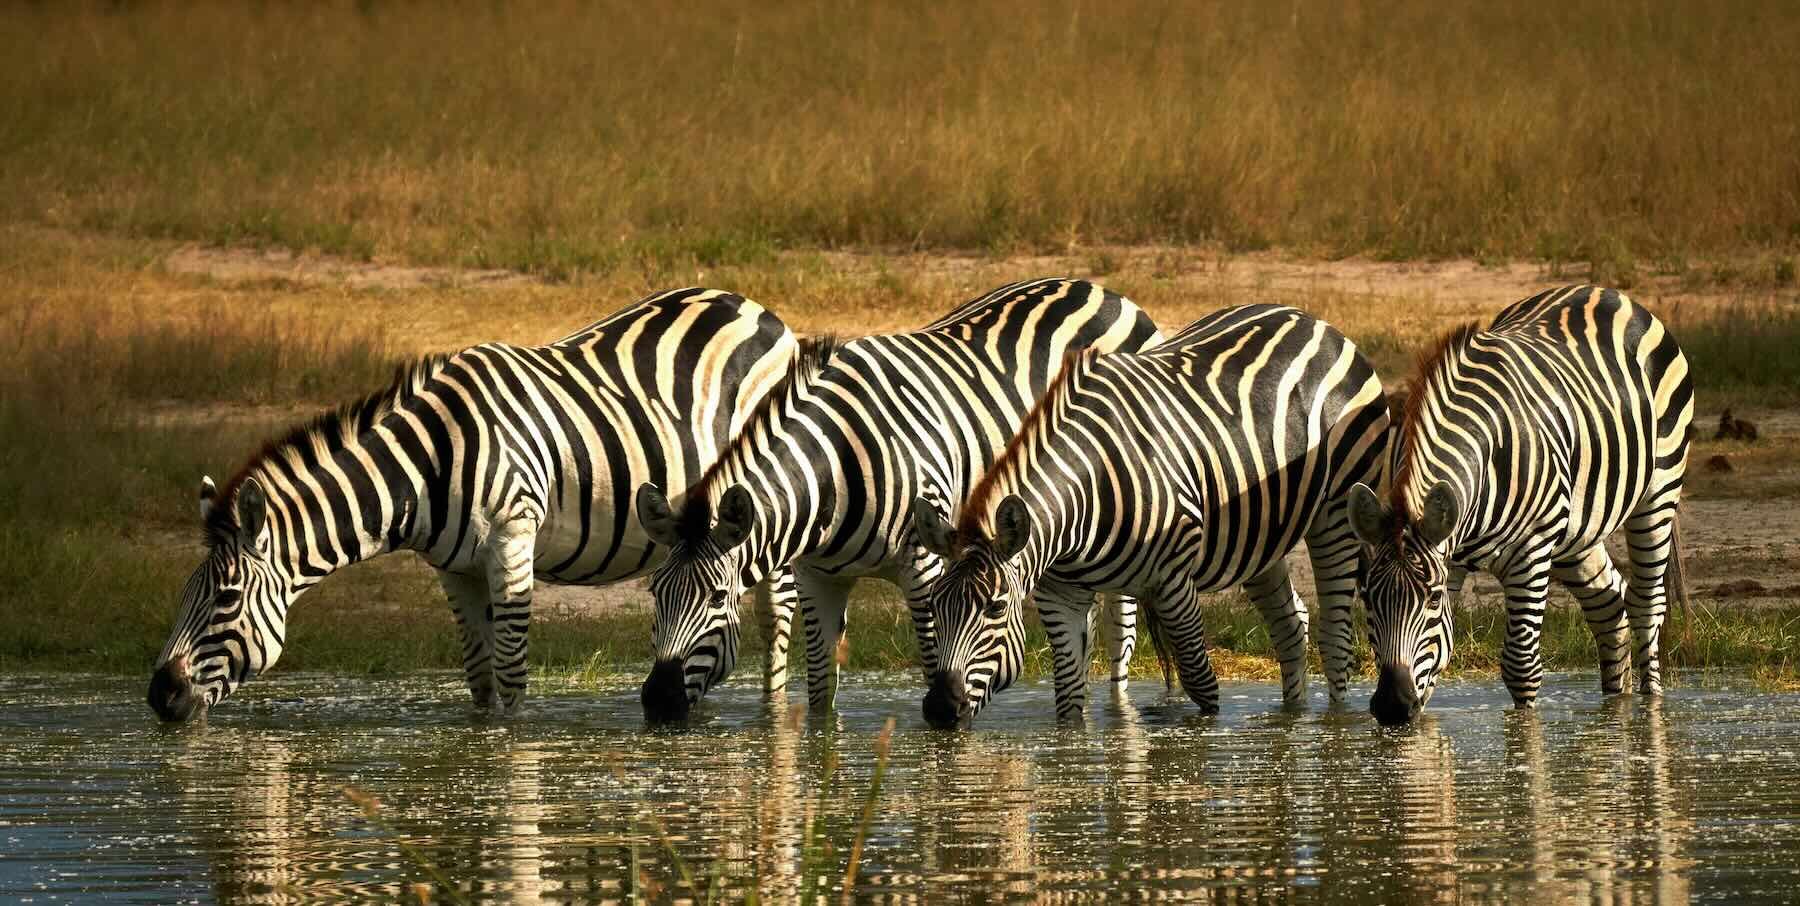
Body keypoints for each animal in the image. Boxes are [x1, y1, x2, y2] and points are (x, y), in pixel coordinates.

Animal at [147, 288, 797, 722]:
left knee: (776, 620)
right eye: (184, 592)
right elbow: (480, 678)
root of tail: (758, 308)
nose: (158, 696)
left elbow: (509, 673)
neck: (424, 468)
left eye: (226, 599)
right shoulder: (454, 568)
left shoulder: (513, 538)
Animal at [634, 278, 1163, 722]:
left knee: (1121, 633)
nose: (658, 701)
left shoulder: (925, 566)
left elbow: (934, 663)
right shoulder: (816, 576)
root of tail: (1105, 291)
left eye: (717, 597)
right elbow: (821, 690)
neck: (834, 470)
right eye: (655, 593)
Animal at [912, 303, 1390, 727]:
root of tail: (1316, 321)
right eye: (935, 605)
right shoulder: (1060, 595)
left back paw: (1334, 725)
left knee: (1335, 640)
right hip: (1262, 534)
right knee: (1291, 628)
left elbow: (1201, 685)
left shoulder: (1173, 581)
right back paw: (1291, 721)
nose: (939, 710)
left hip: (1336, 514)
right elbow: (1068, 701)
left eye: (994, 608)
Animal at [1346, 285, 1693, 725]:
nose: (1392, 706)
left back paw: (1650, 710)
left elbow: (1521, 666)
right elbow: (1436, 661)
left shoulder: (1529, 554)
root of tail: (1600, 291)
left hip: (1658, 491)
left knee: (1647, 606)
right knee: (1608, 603)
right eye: (1367, 598)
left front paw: (1524, 735)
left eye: (1433, 599)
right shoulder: (1448, 552)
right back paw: (1615, 707)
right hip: (1575, 531)